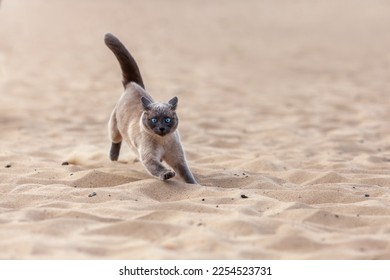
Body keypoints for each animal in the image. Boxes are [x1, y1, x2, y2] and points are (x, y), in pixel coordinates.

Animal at [103, 33, 197, 184]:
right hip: (114, 128)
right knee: (115, 140)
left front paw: (195, 185)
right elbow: (158, 168)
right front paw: (167, 174)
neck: (162, 141)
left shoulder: (178, 160)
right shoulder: (149, 158)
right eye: (154, 120)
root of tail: (132, 85)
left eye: (167, 120)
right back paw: (113, 158)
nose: (162, 128)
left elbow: (187, 175)